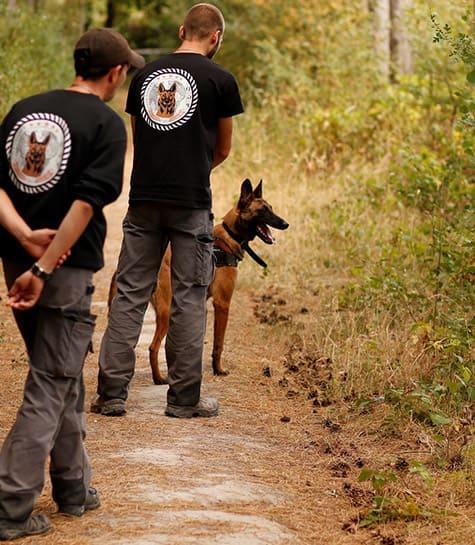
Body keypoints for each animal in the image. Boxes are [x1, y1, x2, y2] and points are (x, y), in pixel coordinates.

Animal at [108, 178, 290, 382]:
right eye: (263, 210)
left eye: (271, 208)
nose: (286, 223)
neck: (229, 235)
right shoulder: (222, 304)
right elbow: (218, 344)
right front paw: (218, 369)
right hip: (167, 312)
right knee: (153, 347)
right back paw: (159, 378)